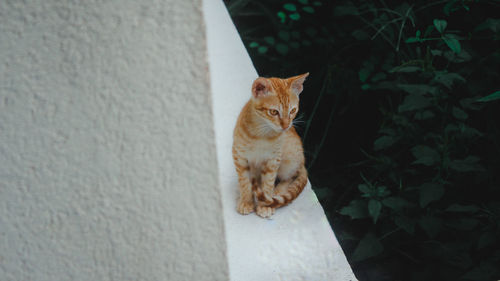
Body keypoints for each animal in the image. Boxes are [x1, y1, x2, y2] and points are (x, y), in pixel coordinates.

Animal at [233, 71, 310, 217]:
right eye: (274, 112)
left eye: (293, 111)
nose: (286, 126)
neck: (261, 134)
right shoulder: (239, 156)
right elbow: (244, 181)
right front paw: (246, 201)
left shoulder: (273, 160)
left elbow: (268, 183)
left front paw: (265, 205)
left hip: (290, 157)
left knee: (290, 176)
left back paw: (278, 191)